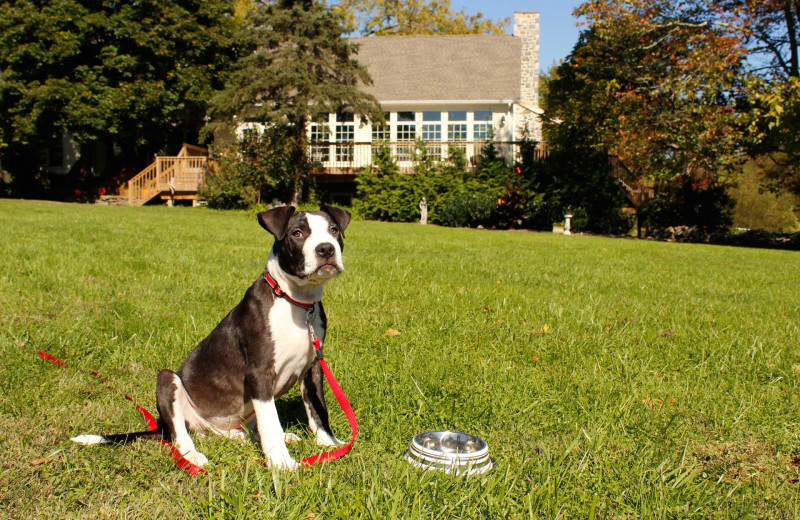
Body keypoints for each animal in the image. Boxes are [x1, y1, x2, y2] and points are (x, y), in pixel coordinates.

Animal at [71, 205, 350, 470]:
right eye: (297, 233)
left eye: (334, 230)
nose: (326, 249)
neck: (295, 302)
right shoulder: (259, 372)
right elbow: (270, 422)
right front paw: (281, 463)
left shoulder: (313, 367)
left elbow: (318, 410)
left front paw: (328, 443)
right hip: (168, 381)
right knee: (179, 433)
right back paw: (192, 455)